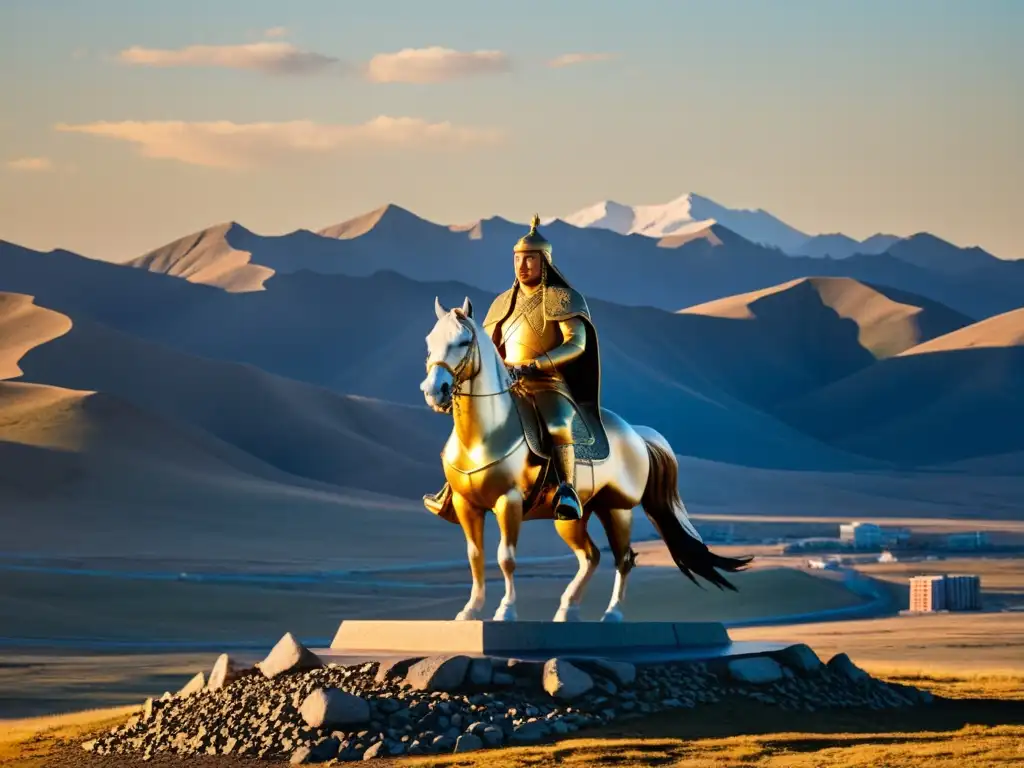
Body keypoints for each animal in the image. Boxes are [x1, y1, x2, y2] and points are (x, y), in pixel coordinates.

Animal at [417, 296, 753, 622]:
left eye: (463, 341)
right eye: (430, 340)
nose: (434, 391)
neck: (485, 434)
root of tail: (636, 433)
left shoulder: (508, 501)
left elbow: (506, 557)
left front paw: (506, 610)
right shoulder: (467, 505)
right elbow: (475, 555)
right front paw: (470, 610)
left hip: (617, 509)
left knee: (624, 558)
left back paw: (612, 614)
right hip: (573, 516)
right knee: (591, 556)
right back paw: (567, 610)